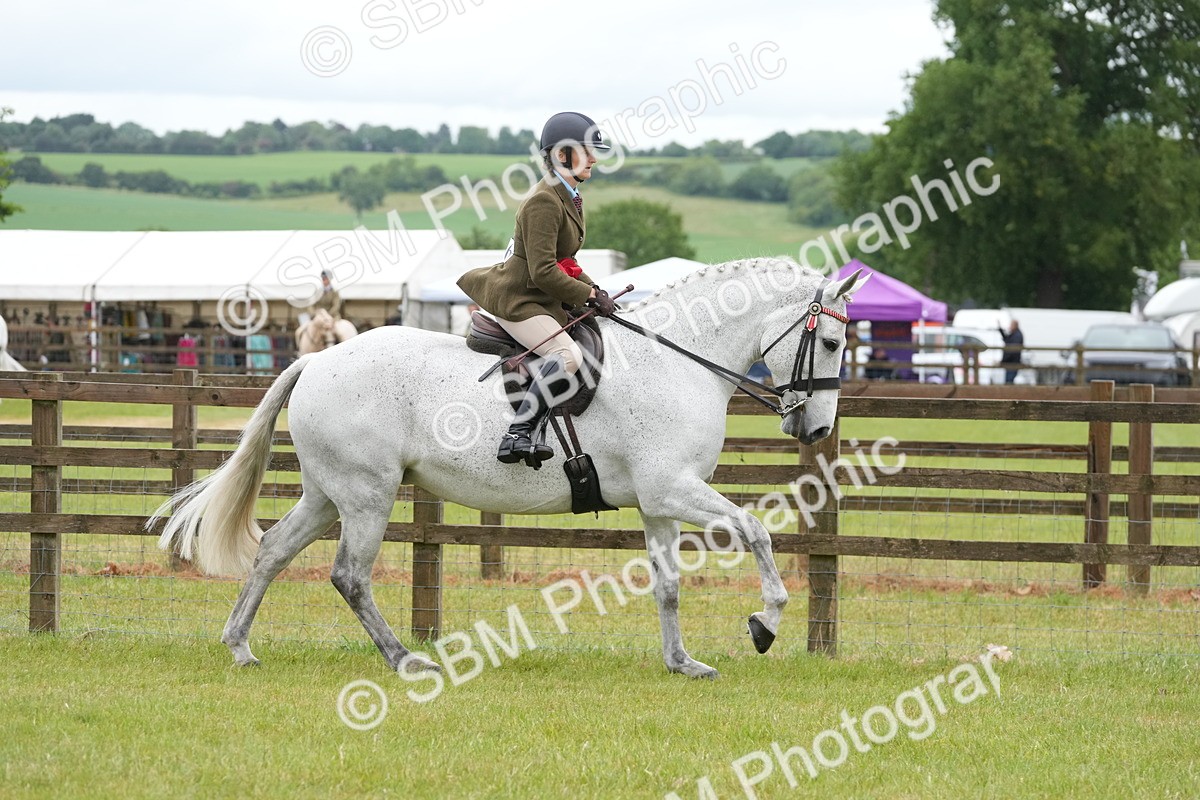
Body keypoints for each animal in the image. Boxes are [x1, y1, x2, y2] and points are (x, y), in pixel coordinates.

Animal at [153, 258, 868, 679]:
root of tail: (317, 360)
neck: (679, 360)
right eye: (832, 341)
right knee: (349, 576)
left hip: (329, 494)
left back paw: (241, 646)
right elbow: (757, 531)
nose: (816, 429)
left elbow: (667, 584)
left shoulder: (659, 501)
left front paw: (681, 662)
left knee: (273, 550)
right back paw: (405, 659)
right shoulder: (675, 488)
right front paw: (765, 623)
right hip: (366, 495)